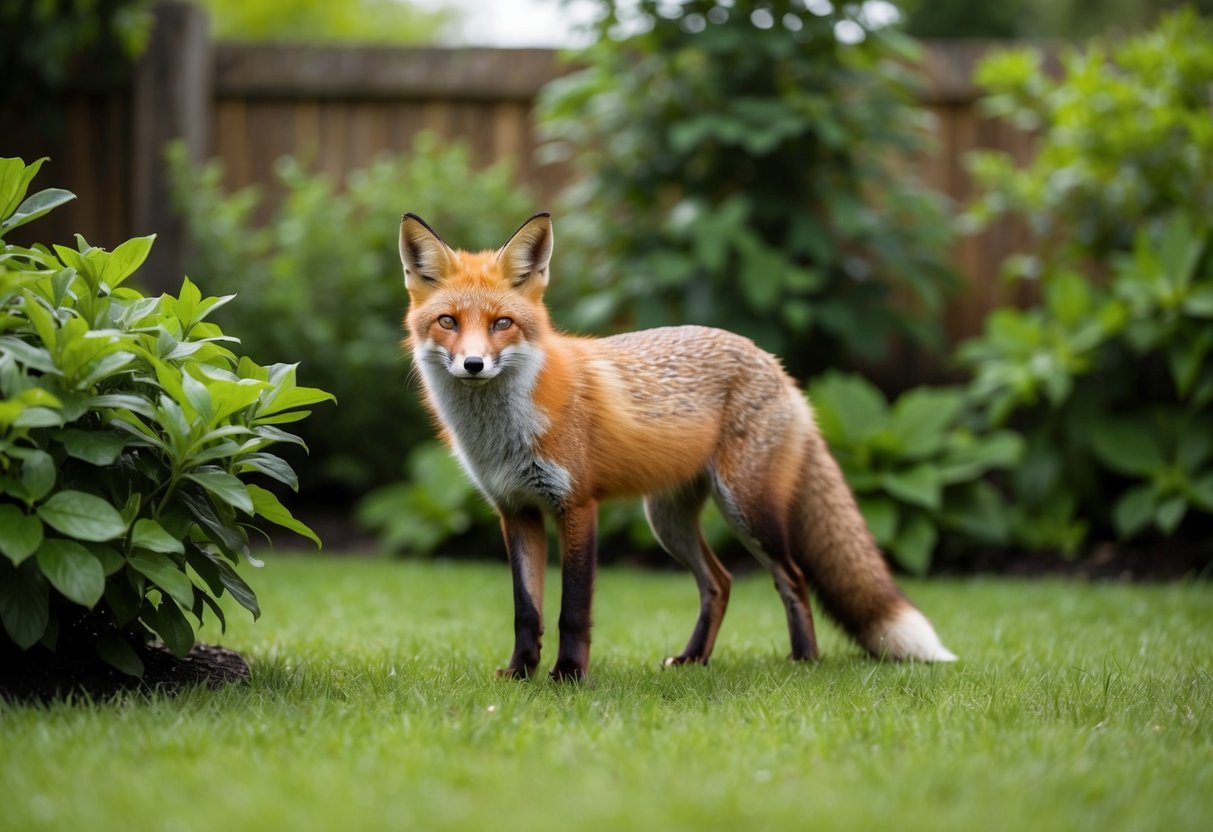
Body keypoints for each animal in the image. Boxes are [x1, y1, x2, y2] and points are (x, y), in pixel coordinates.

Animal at [399, 211, 957, 681]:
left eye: (501, 323)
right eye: (448, 322)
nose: (474, 365)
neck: (502, 433)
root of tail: (773, 363)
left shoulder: (576, 506)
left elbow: (572, 609)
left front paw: (568, 677)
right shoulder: (516, 511)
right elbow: (526, 610)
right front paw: (520, 674)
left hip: (748, 510)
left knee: (793, 578)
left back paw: (804, 659)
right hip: (668, 521)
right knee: (720, 581)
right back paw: (693, 659)